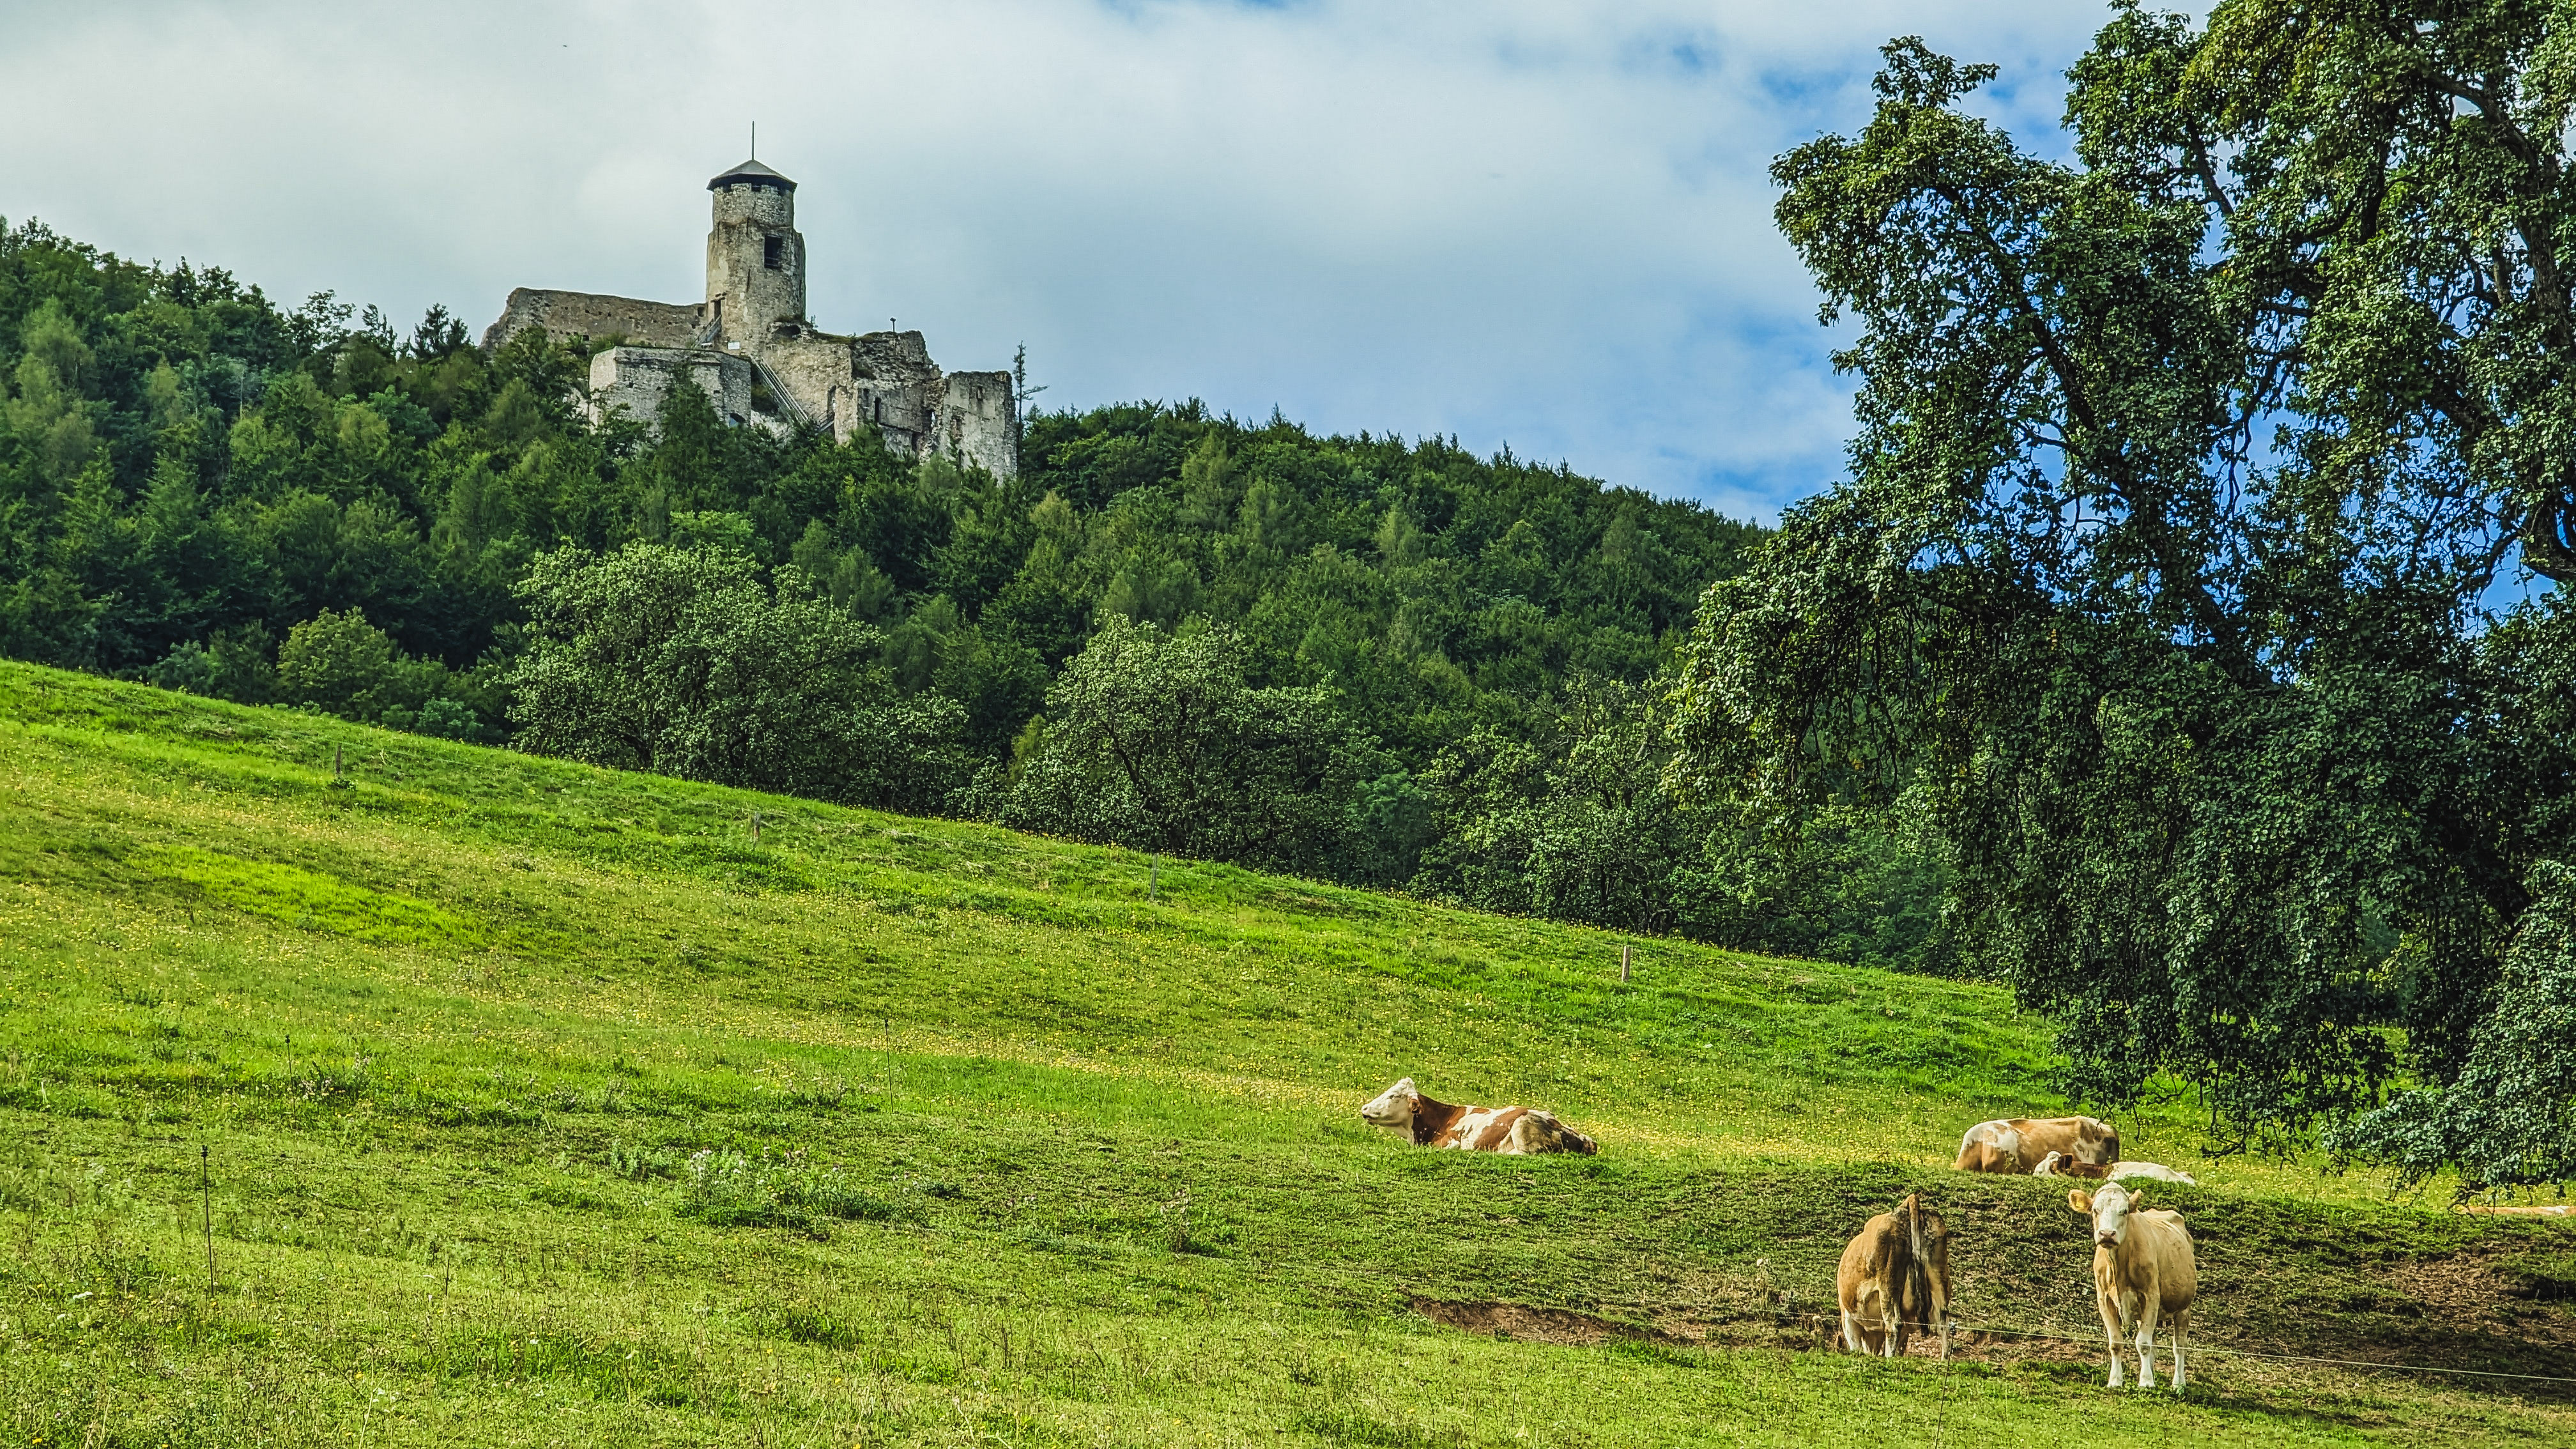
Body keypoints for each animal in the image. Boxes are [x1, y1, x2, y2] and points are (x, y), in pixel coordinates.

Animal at [1834, 1186, 1947, 1351]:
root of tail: (1908, 1202)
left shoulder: (1848, 1318)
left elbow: (1855, 1345)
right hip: (1939, 1275)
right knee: (1944, 1324)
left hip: (1888, 1283)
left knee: (1893, 1325)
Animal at [2071, 1186, 2195, 1392]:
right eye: (2095, 1210)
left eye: (2125, 1211)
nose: (2107, 1234)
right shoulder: (2104, 1299)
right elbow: (2116, 1342)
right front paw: (2115, 1380)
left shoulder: (2151, 1295)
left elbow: (2143, 1343)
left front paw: (2146, 1382)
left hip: (2183, 1307)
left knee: (2179, 1345)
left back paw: (2178, 1383)